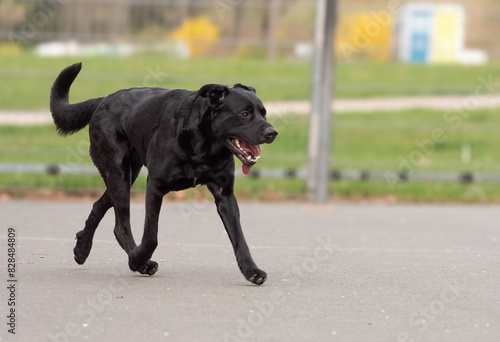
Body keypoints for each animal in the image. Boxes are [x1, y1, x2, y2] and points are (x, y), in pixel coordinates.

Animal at [49, 62, 278, 284]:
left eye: (264, 113)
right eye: (245, 113)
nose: (273, 133)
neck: (202, 145)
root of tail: (104, 99)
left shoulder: (225, 193)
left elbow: (239, 237)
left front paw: (251, 270)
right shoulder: (155, 186)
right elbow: (151, 236)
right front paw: (137, 259)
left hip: (128, 175)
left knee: (99, 206)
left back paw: (82, 249)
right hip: (117, 172)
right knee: (121, 225)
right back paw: (137, 261)